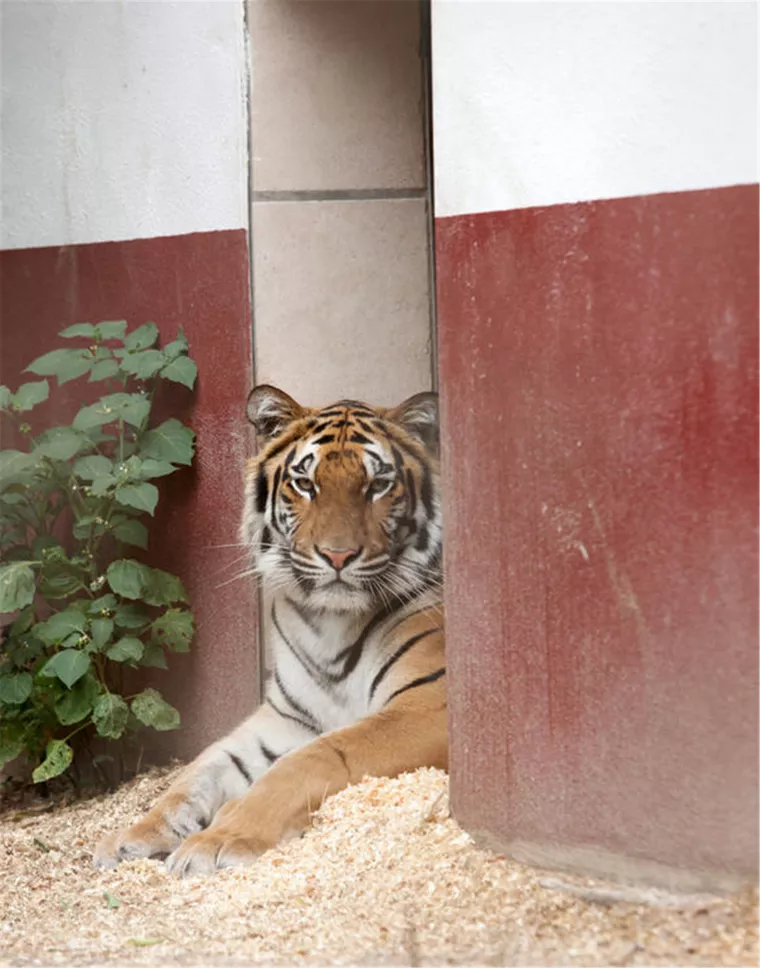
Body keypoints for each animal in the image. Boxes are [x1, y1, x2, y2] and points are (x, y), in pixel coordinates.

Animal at [97, 382, 448, 872]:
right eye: (305, 484)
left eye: (378, 485)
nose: (338, 556)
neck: (332, 624)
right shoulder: (287, 717)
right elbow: (198, 771)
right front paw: (132, 836)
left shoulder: (428, 705)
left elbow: (312, 759)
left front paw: (220, 837)